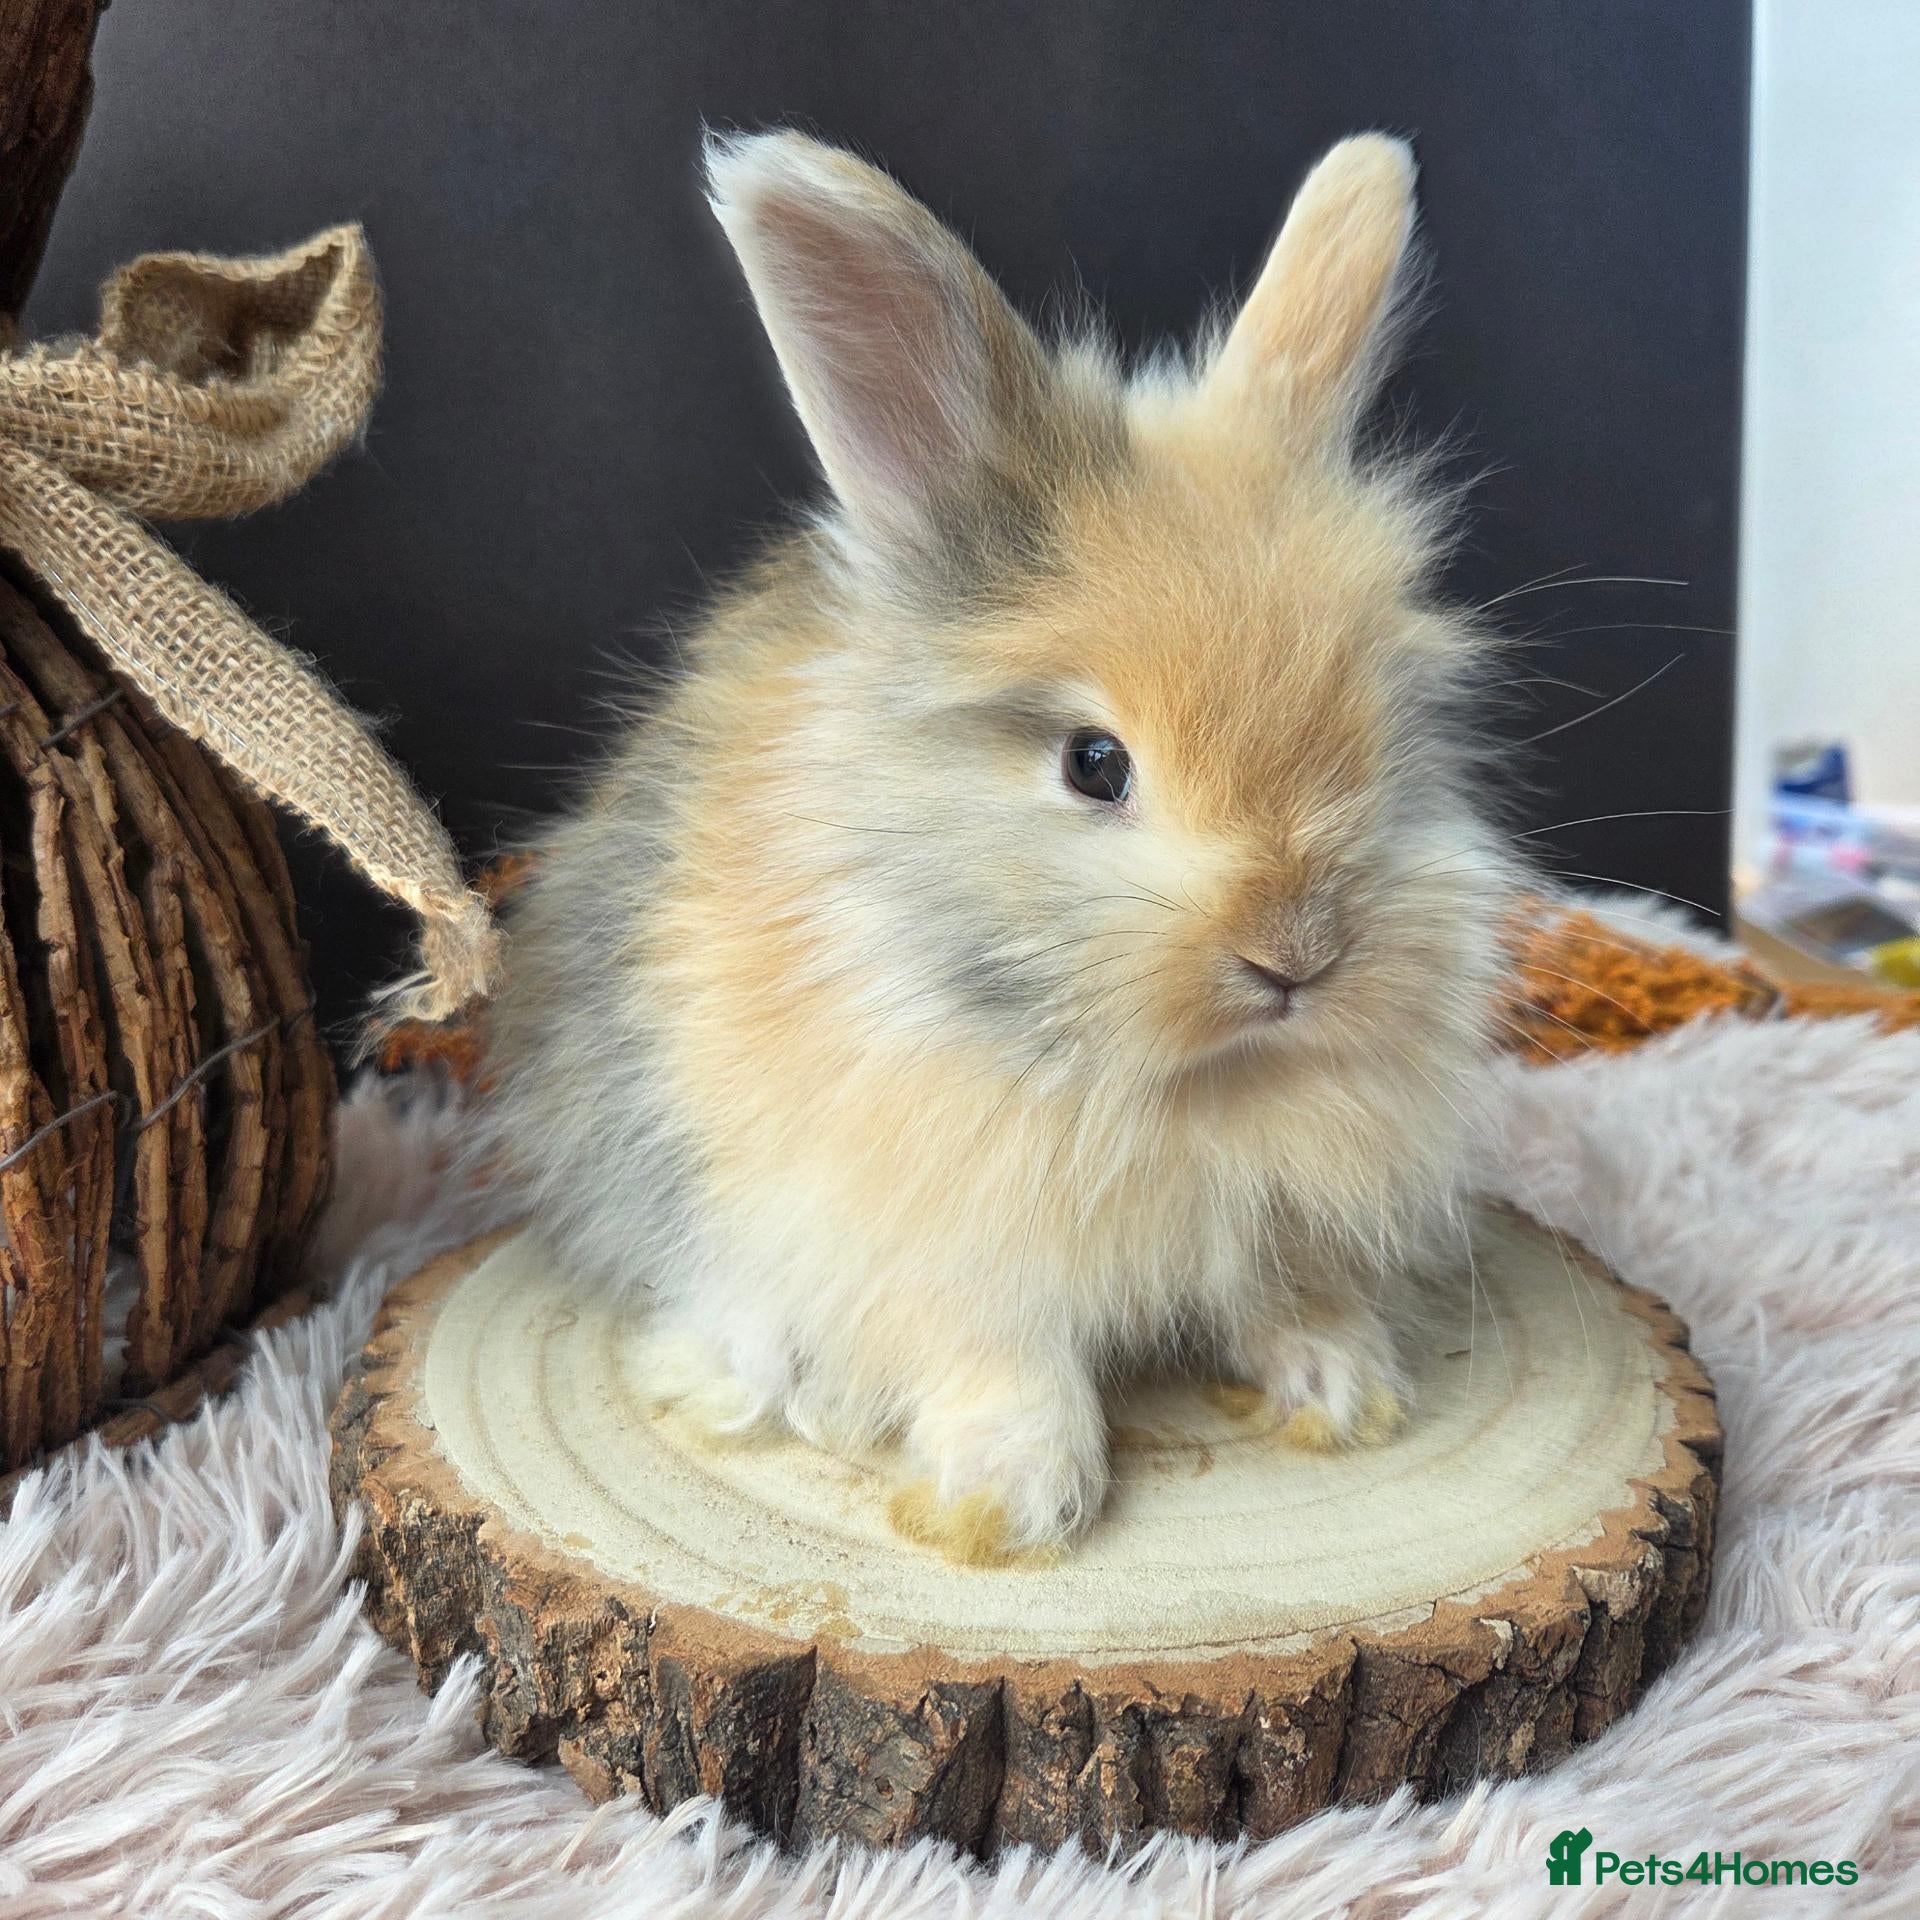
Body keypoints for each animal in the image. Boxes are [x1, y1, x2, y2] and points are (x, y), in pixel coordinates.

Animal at [482, 128, 1517, 1565]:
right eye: (1095, 764)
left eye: (1379, 732)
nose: (1298, 955)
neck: (1164, 1087)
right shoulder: (919, 1235)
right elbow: (997, 1355)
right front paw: (1008, 1501)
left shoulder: (1283, 1204)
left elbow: (1287, 1287)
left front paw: (1342, 1386)